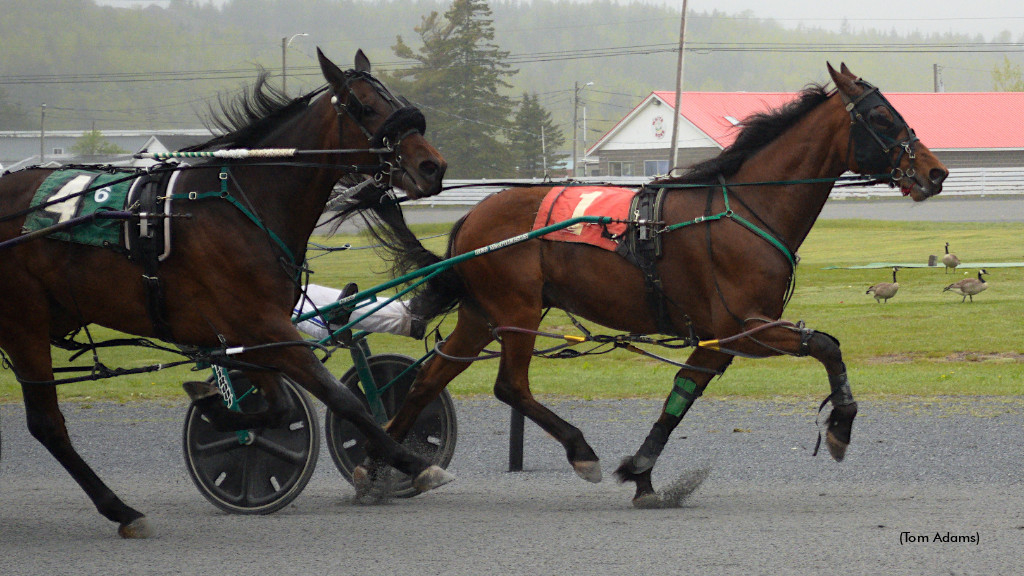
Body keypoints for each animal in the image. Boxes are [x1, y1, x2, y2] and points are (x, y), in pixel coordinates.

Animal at [0, 48, 448, 532]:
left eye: (397, 98)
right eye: (363, 106)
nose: (433, 166)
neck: (237, 206)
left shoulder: (251, 333)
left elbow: (279, 406)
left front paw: (214, 406)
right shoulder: (260, 323)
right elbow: (343, 398)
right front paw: (413, 463)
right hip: (23, 321)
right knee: (47, 423)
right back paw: (120, 509)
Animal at [364, 61, 946, 502]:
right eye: (881, 116)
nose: (936, 172)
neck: (744, 211)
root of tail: (473, 217)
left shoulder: (716, 340)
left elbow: (680, 396)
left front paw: (642, 473)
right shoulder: (744, 328)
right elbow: (826, 345)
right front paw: (841, 427)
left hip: (483, 315)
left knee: (429, 378)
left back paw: (384, 463)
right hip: (517, 312)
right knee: (510, 385)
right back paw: (579, 451)